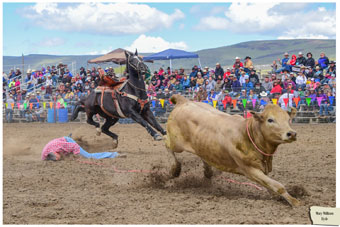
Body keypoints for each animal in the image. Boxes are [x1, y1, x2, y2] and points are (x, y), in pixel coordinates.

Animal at [165, 95, 300, 207]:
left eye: (288, 119)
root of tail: (183, 101)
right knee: (166, 144)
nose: (292, 133)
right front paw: (294, 202)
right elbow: (277, 185)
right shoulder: (249, 169)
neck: (247, 135)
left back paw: (208, 171)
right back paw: (175, 169)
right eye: (270, 120)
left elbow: (269, 184)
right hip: (175, 143)